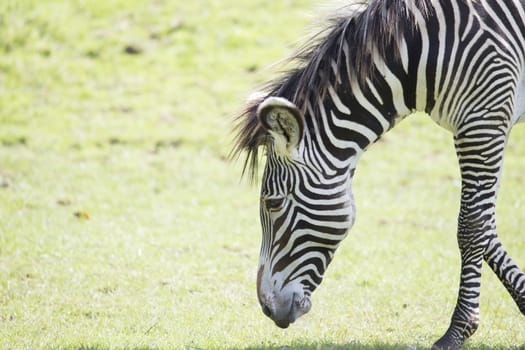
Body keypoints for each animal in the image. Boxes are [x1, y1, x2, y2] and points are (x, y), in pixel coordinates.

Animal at [232, 1, 524, 348]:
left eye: (273, 203)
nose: (267, 308)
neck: (420, 52)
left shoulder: (483, 120)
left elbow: (471, 226)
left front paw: (457, 330)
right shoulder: (481, 124)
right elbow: (486, 226)